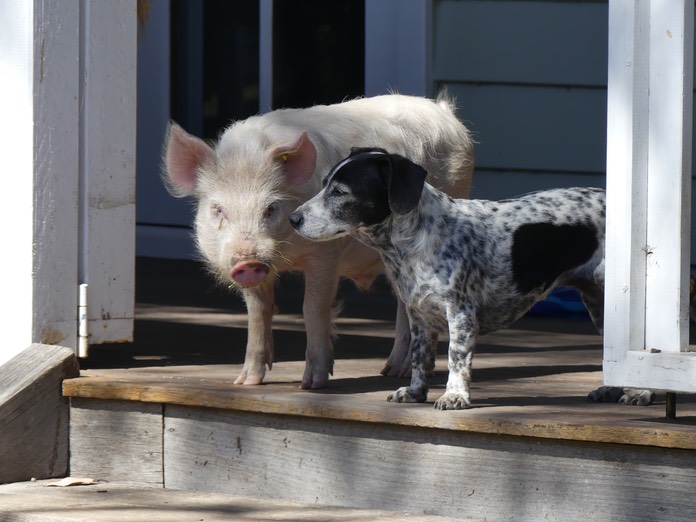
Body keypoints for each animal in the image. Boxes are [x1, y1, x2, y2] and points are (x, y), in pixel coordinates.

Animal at [163, 92, 474, 386]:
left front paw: (311, 385)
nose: (248, 262)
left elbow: (312, 310)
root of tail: (444, 111)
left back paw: (397, 371)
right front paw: (246, 382)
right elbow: (257, 312)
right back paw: (389, 371)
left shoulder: (325, 254)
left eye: (270, 208)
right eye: (218, 209)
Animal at [290, 148, 652, 408]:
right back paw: (612, 389)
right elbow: (420, 358)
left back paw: (641, 393)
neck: (415, 242)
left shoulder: (461, 314)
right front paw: (416, 392)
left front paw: (454, 396)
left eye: (341, 191)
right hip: (599, 304)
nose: (293, 219)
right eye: (323, 185)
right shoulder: (419, 316)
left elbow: (455, 358)